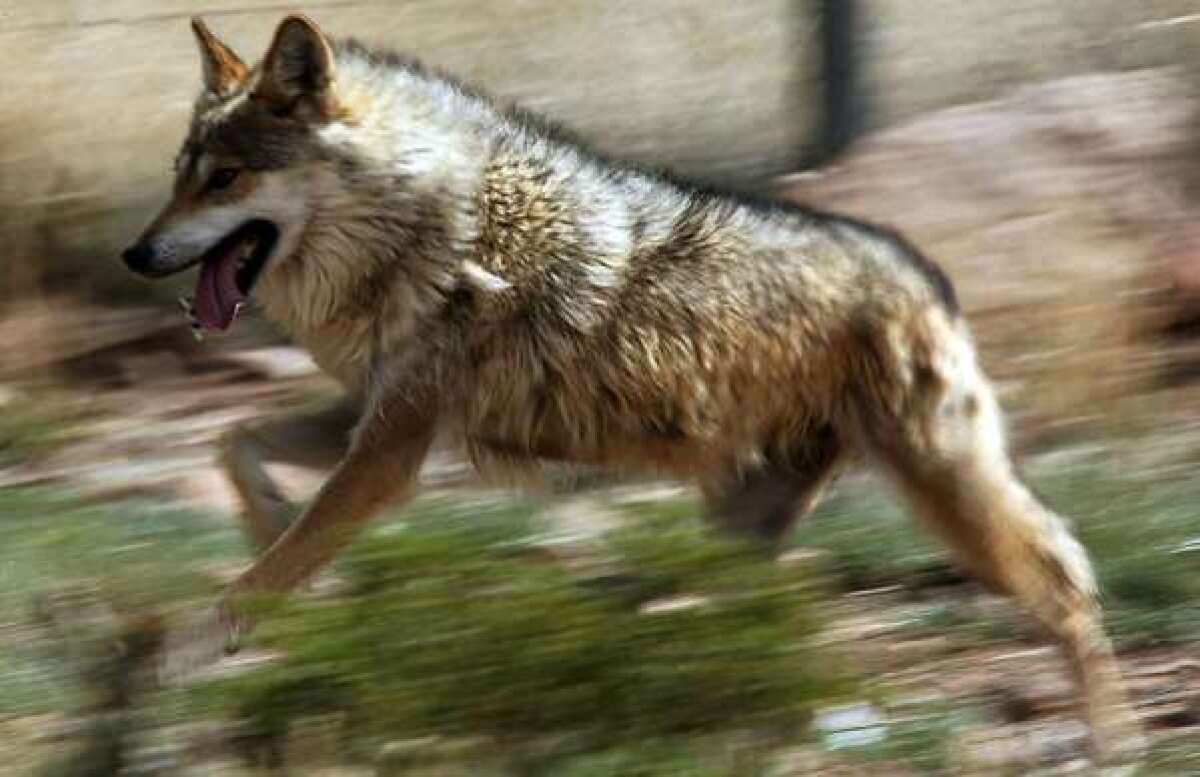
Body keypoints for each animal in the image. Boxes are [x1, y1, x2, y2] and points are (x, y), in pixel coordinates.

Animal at [121, 12, 1142, 762]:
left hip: (943, 498)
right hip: (747, 524)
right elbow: (236, 445)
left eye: (226, 177)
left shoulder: (391, 451)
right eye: (179, 176)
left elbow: (258, 576)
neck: (435, 223)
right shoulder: (373, 416)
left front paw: (183, 654)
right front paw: (260, 519)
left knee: (1065, 580)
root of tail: (925, 272)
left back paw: (1112, 743)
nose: (134, 255)